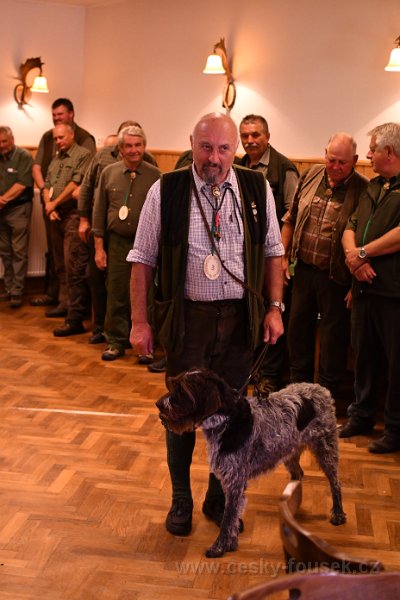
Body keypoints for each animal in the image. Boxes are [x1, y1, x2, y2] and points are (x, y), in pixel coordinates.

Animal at [156, 368, 346, 560]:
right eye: (173, 384)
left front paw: (219, 547)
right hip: (289, 450)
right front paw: (231, 543)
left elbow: (228, 519)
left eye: (181, 390)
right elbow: (232, 518)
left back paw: (338, 513)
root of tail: (320, 388)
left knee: (335, 482)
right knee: (298, 473)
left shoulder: (234, 482)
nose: (158, 404)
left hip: (326, 448)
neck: (227, 421)